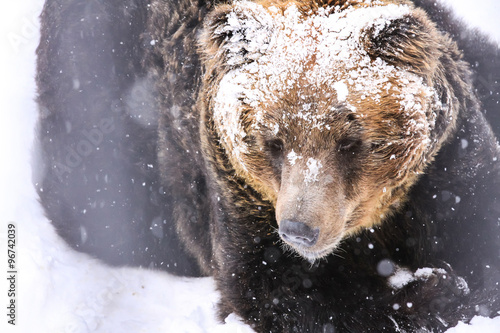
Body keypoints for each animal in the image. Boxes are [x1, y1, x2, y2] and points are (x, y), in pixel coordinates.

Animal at [35, 0, 500, 332]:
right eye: (272, 141)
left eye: (351, 142)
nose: (299, 229)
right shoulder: (239, 193)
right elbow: (282, 290)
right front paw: (435, 291)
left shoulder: (442, 165)